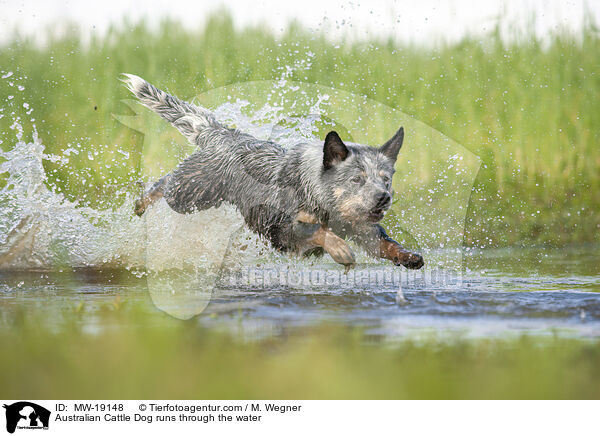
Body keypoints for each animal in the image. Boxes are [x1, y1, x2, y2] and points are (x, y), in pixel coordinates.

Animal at [123, 75, 422, 270]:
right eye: (357, 179)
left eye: (386, 180)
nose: (383, 197)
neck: (322, 200)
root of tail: (224, 135)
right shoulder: (279, 228)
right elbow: (317, 231)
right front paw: (338, 248)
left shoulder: (364, 229)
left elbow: (385, 243)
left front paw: (407, 256)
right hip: (191, 193)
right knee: (163, 184)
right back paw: (141, 203)